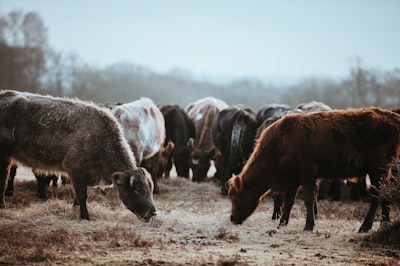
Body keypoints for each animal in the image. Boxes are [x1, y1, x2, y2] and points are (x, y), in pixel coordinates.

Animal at [0, 90, 156, 221]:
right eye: (138, 189)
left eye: (150, 189)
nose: (153, 212)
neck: (101, 137)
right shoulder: (75, 170)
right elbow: (82, 195)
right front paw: (85, 216)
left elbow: (77, 196)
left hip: (7, 159)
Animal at [228, 107, 400, 232]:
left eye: (234, 197)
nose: (232, 218)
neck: (280, 144)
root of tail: (392, 117)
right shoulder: (292, 180)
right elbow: (288, 202)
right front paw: (282, 223)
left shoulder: (307, 176)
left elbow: (308, 199)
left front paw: (308, 225)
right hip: (384, 172)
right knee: (385, 194)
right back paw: (384, 223)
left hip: (376, 170)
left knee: (376, 196)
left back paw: (365, 226)